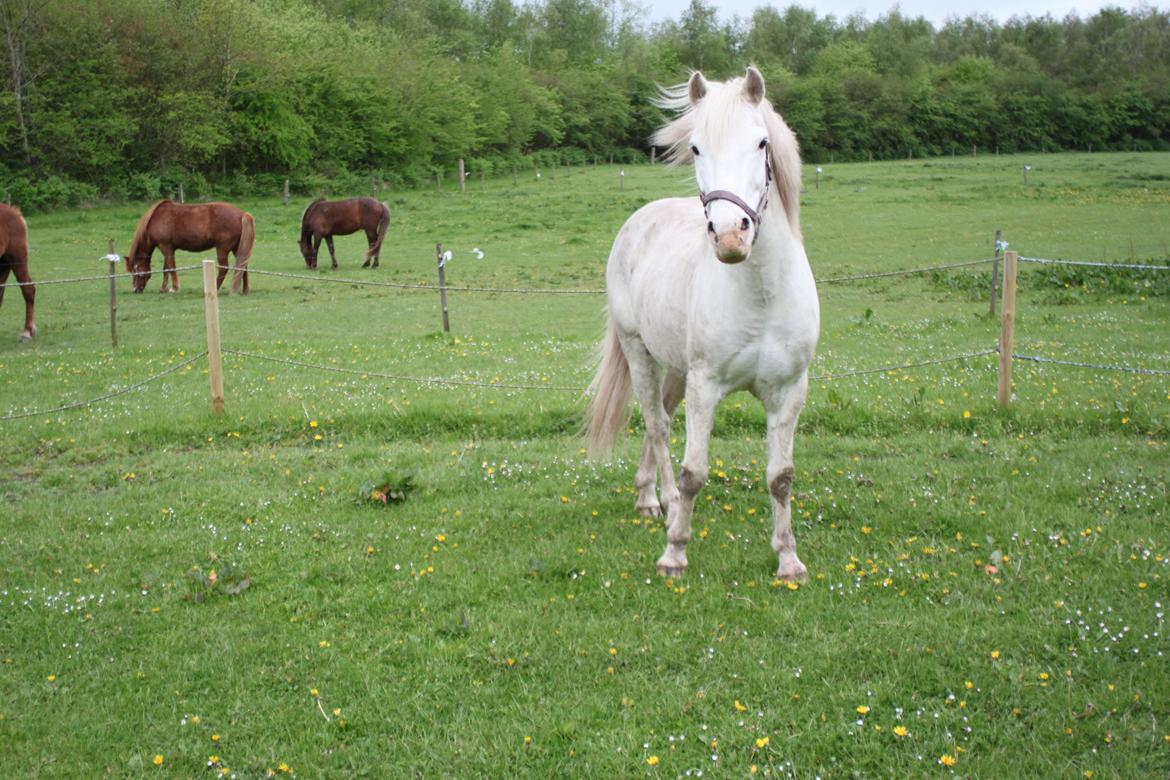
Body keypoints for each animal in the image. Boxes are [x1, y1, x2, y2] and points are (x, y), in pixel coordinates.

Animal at [589, 67, 819, 580]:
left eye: (760, 143)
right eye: (695, 148)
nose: (731, 236)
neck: (761, 295)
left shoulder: (789, 391)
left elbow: (781, 477)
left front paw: (788, 558)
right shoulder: (706, 385)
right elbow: (694, 470)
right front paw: (675, 552)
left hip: (676, 368)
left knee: (661, 418)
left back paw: (649, 495)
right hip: (640, 353)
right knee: (656, 425)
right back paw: (664, 503)